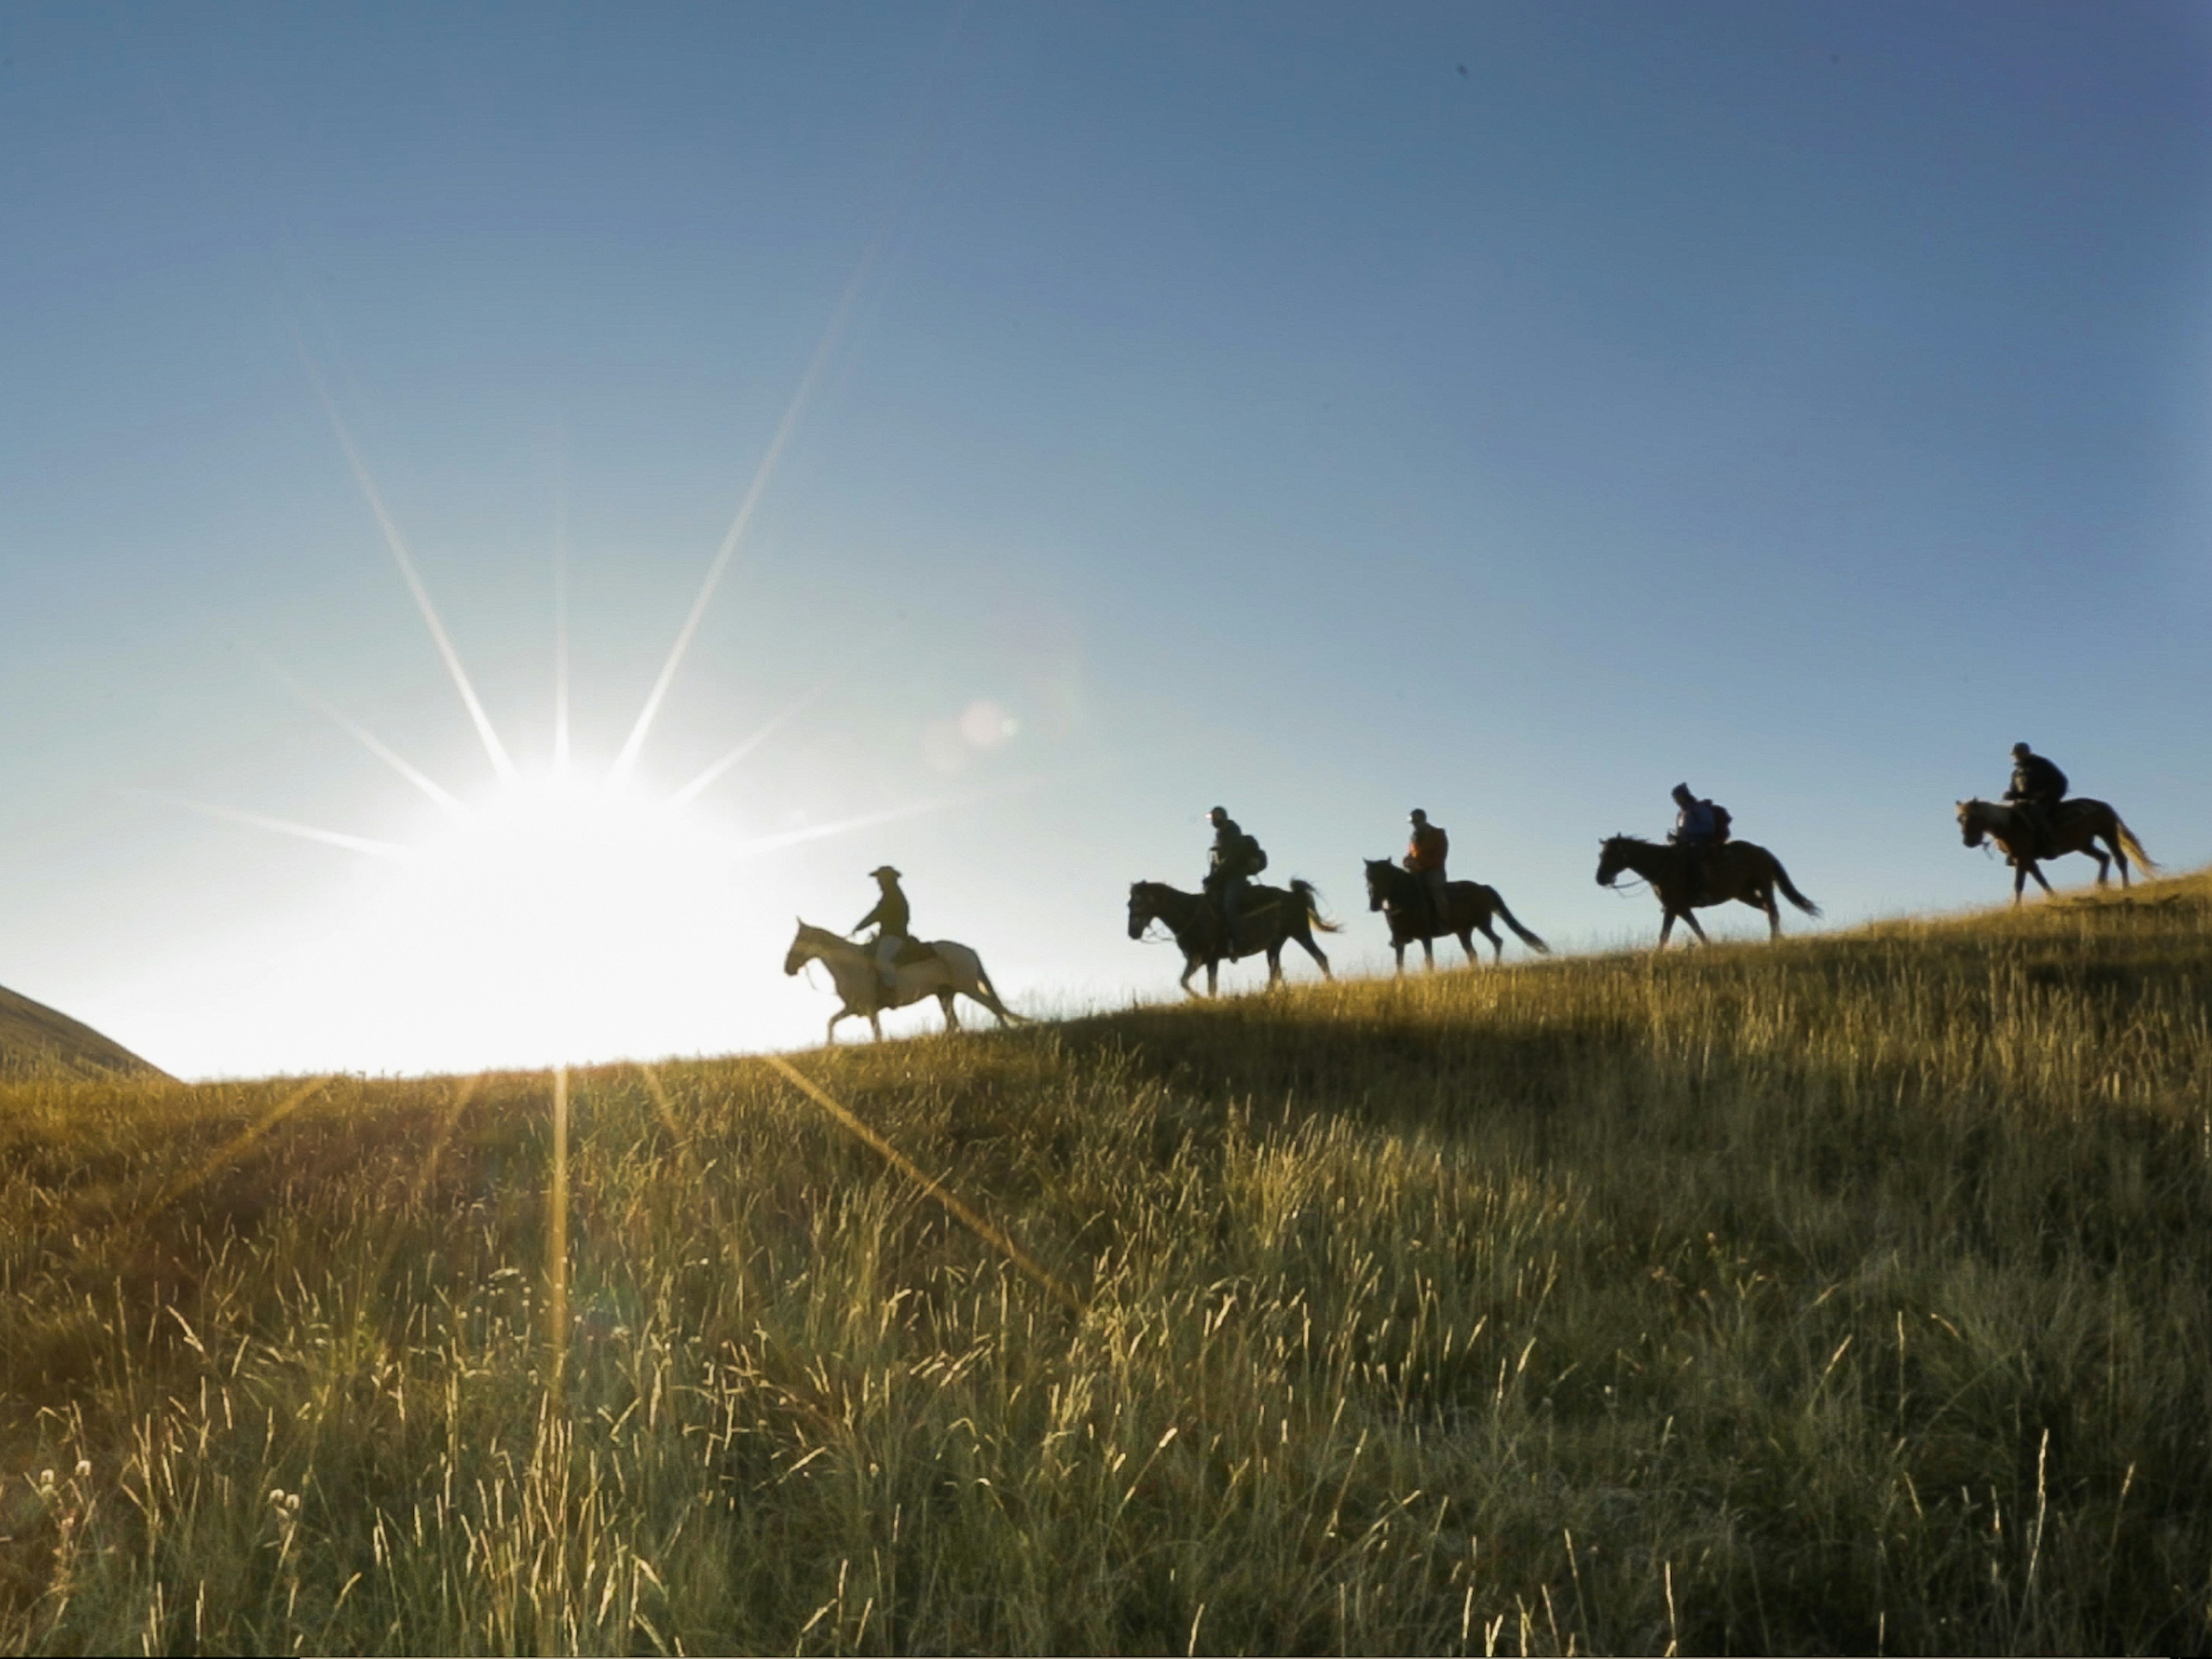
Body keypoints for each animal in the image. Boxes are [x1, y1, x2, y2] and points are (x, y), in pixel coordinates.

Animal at [783, 915, 1022, 1044]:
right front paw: (830, 1046)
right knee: (954, 1022)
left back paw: (1006, 1031)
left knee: (992, 1005)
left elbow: (877, 1034)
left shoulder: (870, 1009)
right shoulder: (854, 1008)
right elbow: (831, 1022)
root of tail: (969, 951)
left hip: (969, 988)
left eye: (799, 940)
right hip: (946, 994)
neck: (850, 965)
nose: (788, 968)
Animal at [1132, 885, 1336, 999]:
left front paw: (1202, 1000)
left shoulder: (1205, 959)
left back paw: (1330, 985)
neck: (1190, 914)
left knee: (1321, 958)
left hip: (1301, 934)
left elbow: (1200, 985)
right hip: (1274, 946)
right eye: (1130, 904)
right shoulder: (1204, 961)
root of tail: (1296, 896)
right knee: (1276, 973)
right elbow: (1194, 983)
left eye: (1140, 903)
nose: (1132, 932)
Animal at [1354, 858, 1548, 973]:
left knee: (1497, 941)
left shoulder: (1426, 936)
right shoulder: (1400, 940)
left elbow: (1429, 960)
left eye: (1384, 876)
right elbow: (1399, 963)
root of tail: (1483, 887)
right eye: (1367, 877)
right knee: (1473, 953)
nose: (1374, 905)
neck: (1406, 899)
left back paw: (1495, 965)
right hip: (1464, 932)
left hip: (1483, 924)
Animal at [1601, 836, 1823, 955]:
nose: (1600, 878)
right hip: (1744, 894)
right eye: (1601, 855)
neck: (1662, 866)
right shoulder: (1682, 908)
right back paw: (1778, 938)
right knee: (1768, 910)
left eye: (1610, 856)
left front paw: (1657, 955)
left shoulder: (1674, 907)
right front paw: (1709, 947)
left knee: (1773, 911)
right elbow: (1696, 929)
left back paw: (1774, 942)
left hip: (1764, 885)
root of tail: (1762, 851)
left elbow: (1665, 934)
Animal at [1964, 796, 2150, 902]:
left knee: (2119, 858)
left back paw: (2125, 888)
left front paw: (2015, 908)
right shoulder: (2025, 860)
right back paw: (2101, 886)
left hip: (2107, 833)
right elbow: (2040, 879)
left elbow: (2019, 884)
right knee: (2104, 858)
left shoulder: (2023, 858)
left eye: (1972, 818)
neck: (2010, 825)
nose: (1968, 842)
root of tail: (2104, 806)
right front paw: (2054, 898)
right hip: (2084, 844)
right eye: (1960, 819)